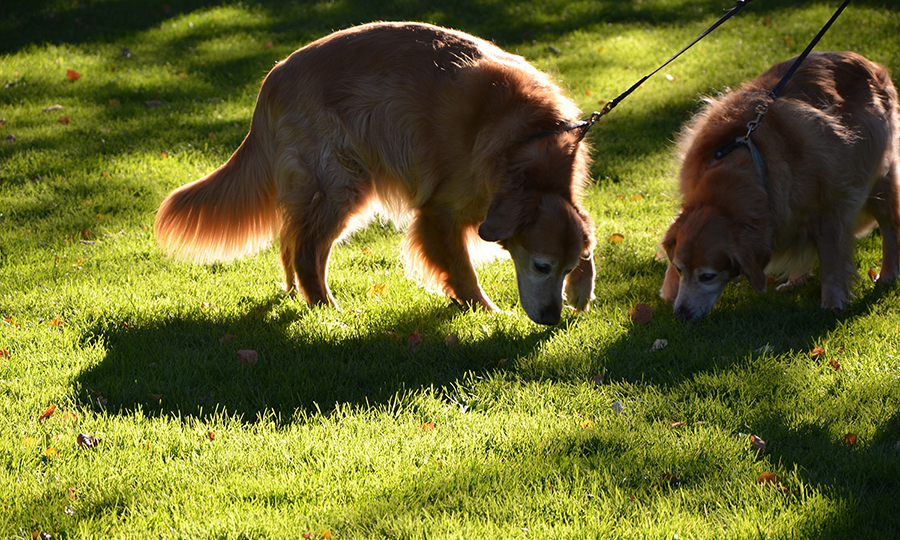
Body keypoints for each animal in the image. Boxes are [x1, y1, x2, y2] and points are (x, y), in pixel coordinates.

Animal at [156, 22, 596, 324]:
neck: (526, 144)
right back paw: (328, 310)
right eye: (541, 266)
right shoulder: (439, 212)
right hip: (341, 183)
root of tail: (273, 77)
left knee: (291, 240)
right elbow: (462, 271)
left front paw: (582, 289)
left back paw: (299, 295)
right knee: (306, 250)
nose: (552, 319)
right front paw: (486, 313)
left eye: (566, 267)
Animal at [660, 49, 900, 320]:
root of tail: (866, 61)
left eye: (708, 276)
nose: (681, 314)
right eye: (680, 269)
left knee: (890, 228)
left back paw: (888, 274)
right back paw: (796, 280)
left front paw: (832, 301)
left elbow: (830, 259)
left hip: (878, 177)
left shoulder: (830, 208)